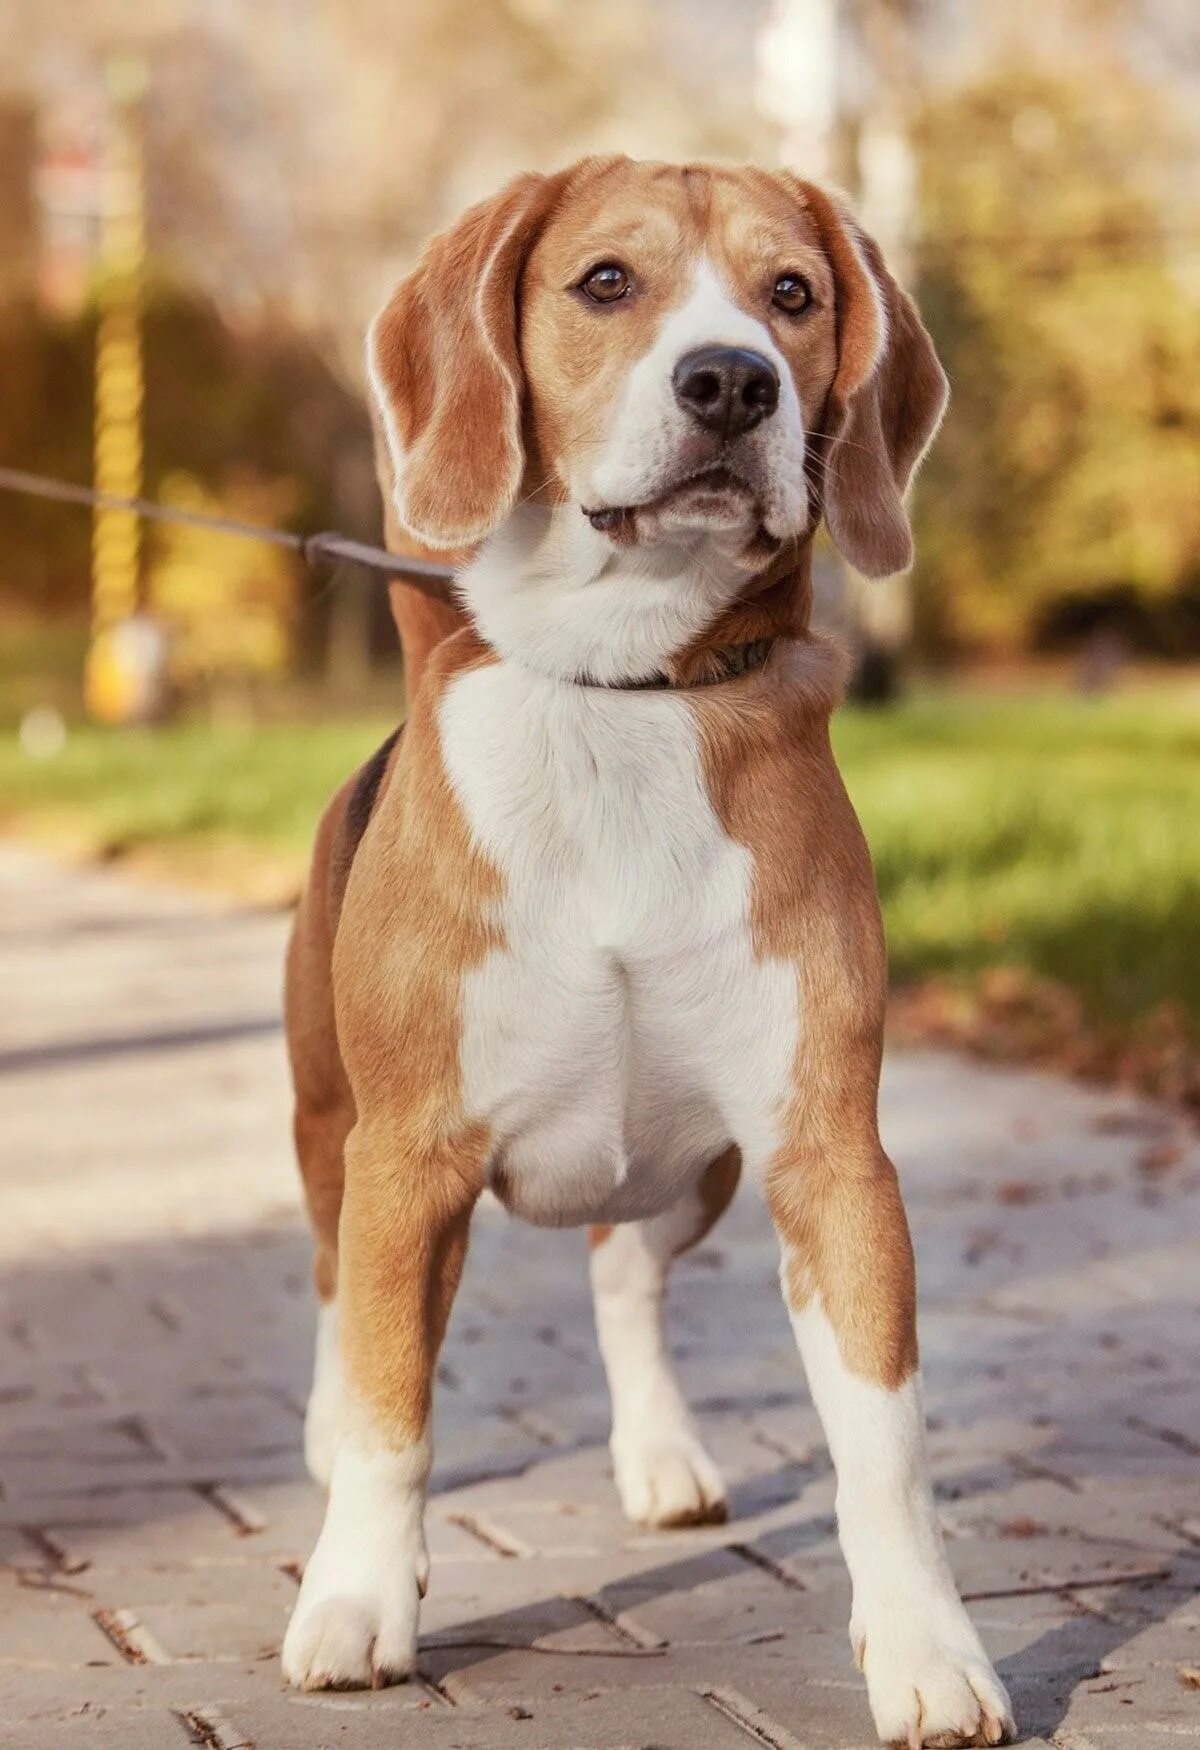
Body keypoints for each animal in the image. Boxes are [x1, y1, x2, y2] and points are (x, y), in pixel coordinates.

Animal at [279, 157, 1014, 1743]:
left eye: (793, 293)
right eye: (607, 282)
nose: (732, 379)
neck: (623, 688)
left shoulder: (829, 1157)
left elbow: (886, 1447)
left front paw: (929, 1651)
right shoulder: (408, 1156)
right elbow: (391, 1412)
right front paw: (357, 1599)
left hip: (702, 1170)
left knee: (626, 1273)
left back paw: (662, 1455)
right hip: (328, 1125)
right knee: (335, 1288)